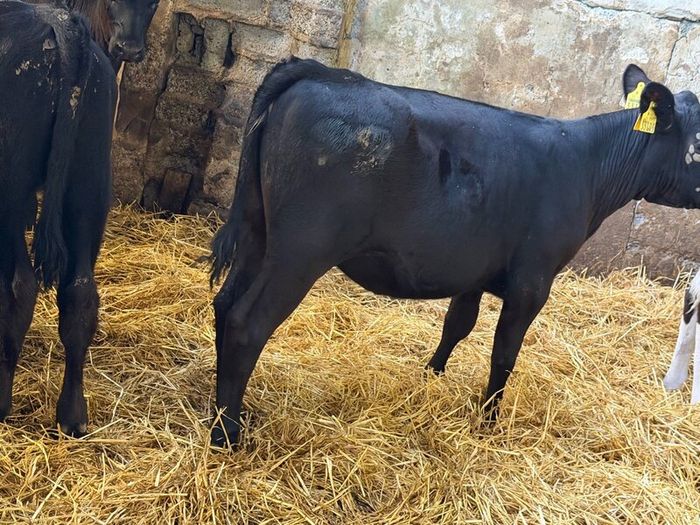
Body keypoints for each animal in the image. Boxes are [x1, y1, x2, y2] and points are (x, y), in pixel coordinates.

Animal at [0, 0, 116, 436]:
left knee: (19, 286)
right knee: (79, 293)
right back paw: (73, 415)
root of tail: (62, 24)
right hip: (89, 183)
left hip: (12, 190)